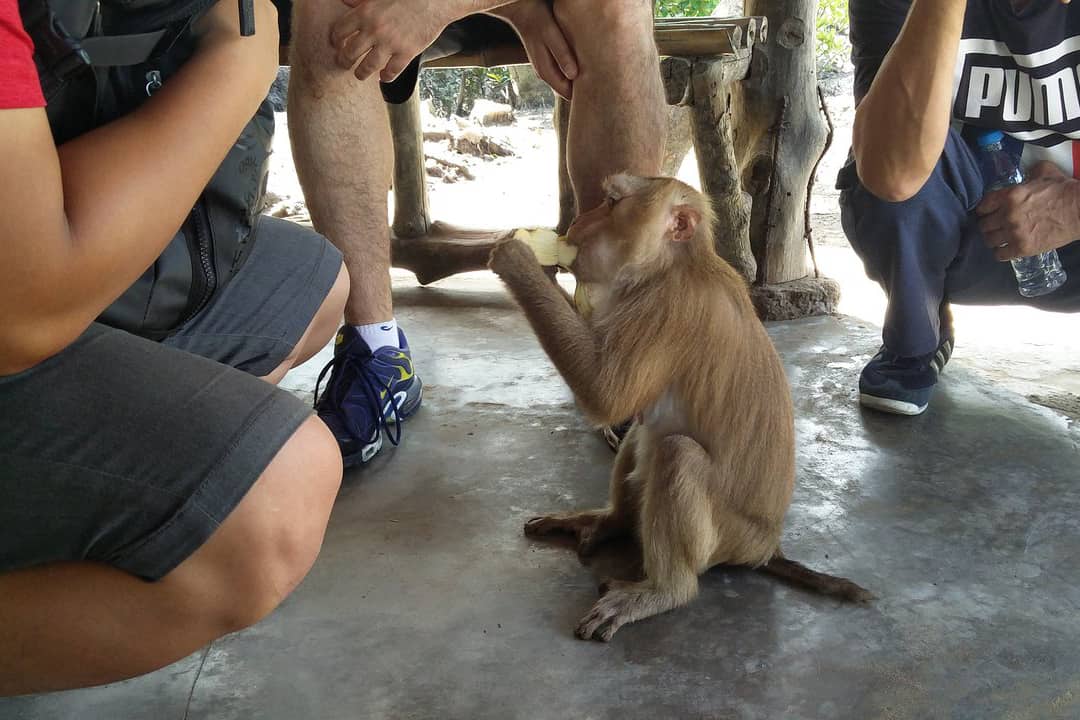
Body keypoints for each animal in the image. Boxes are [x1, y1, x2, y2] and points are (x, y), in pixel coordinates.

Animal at [488, 174, 873, 642]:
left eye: (611, 202)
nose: (578, 222)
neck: (669, 266)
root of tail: (767, 546)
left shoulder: (669, 306)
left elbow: (605, 394)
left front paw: (518, 258)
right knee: (645, 432)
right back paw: (613, 521)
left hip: (730, 538)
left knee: (676, 452)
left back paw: (665, 591)